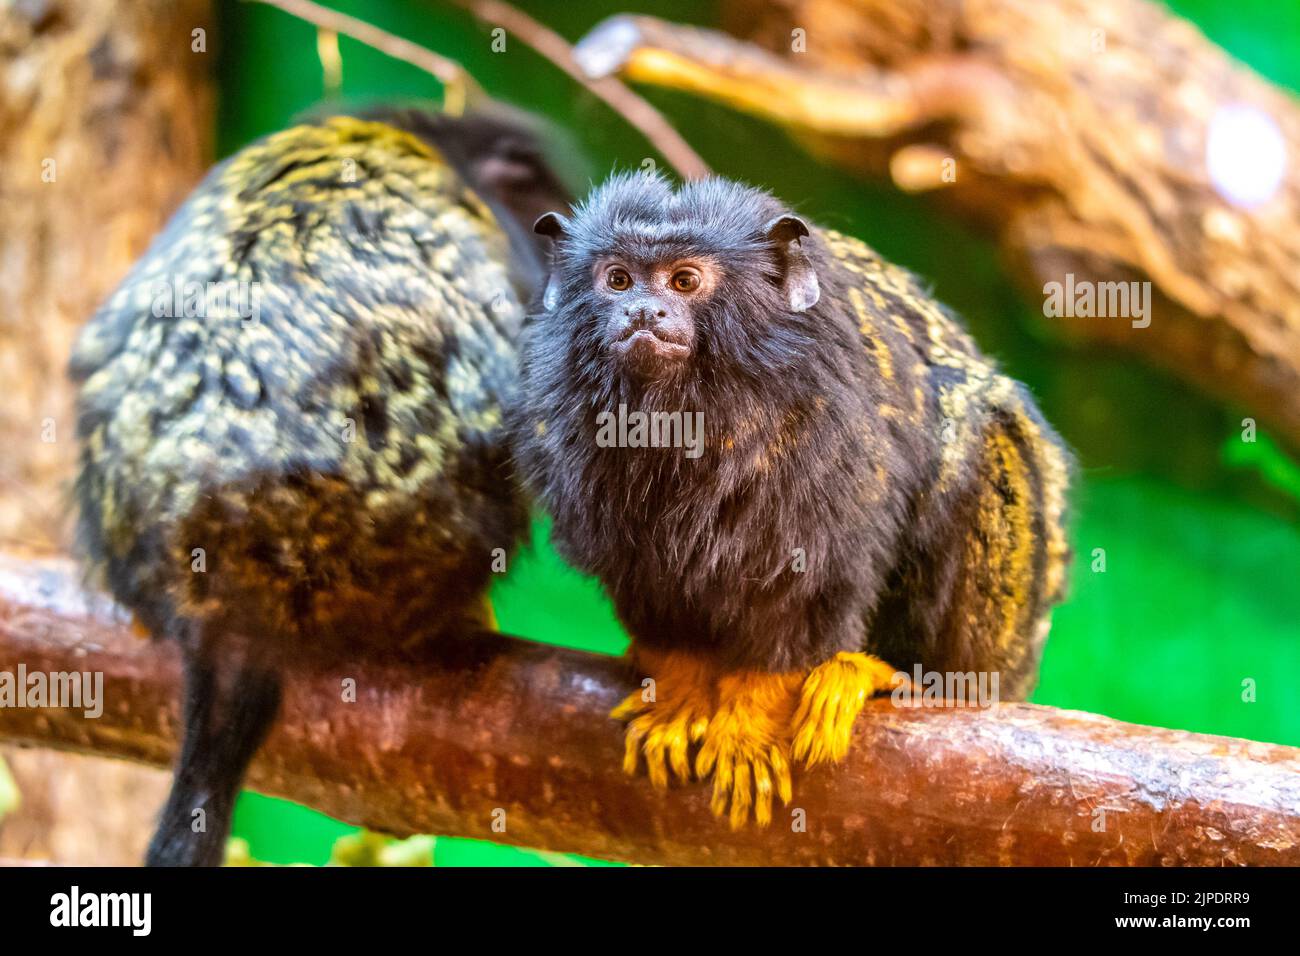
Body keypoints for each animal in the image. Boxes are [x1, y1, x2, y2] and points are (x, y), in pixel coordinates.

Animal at [512, 171, 1071, 832]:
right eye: (618, 279)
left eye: (684, 281)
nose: (643, 312)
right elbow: (647, 580)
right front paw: (677, 688)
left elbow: (807, 584)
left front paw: (752, 715)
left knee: (979, 426)